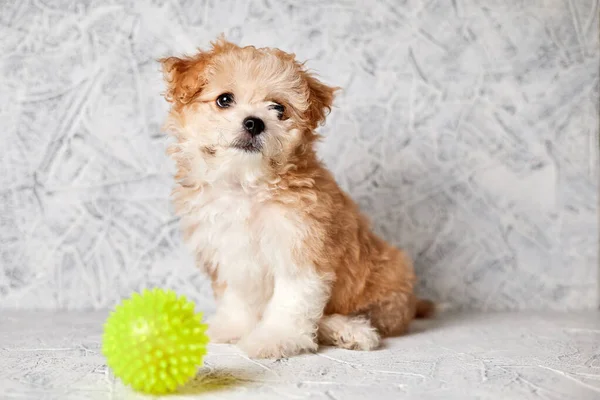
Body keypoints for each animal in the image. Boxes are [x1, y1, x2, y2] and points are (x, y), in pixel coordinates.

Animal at [159, 38, 432, 360]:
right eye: (224, 100)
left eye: (278, 108)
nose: (254, 123)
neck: (247, 185)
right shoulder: (226, 252)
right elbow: (237, 297)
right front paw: (233, 328)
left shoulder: (301, 247)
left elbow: (291, 301)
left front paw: (274, 339)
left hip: (388, 277)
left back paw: (351, 331)